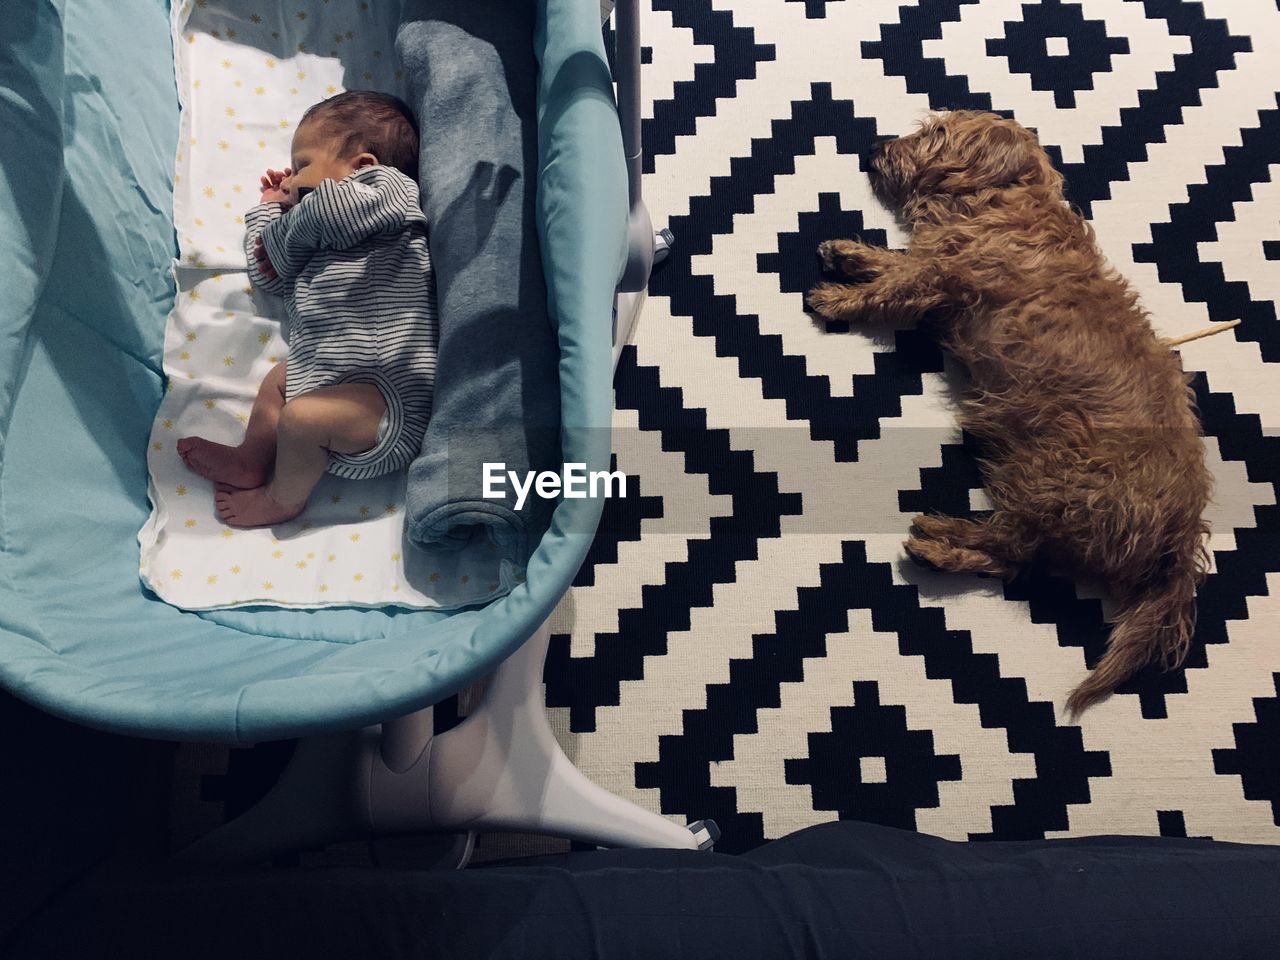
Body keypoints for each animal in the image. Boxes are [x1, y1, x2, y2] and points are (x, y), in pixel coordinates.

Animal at [808, 108, 1208, 716]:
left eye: (933, 134)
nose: (873, 148)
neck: (1002, 204)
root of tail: (1179, 540)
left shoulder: (941, 278)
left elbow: (895, 282)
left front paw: (837, 297)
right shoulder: (940, 261)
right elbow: (901, 258)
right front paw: (853, 254)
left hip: (1048, 477)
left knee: (1008, 551)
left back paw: (936, 538)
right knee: (1014, 560)